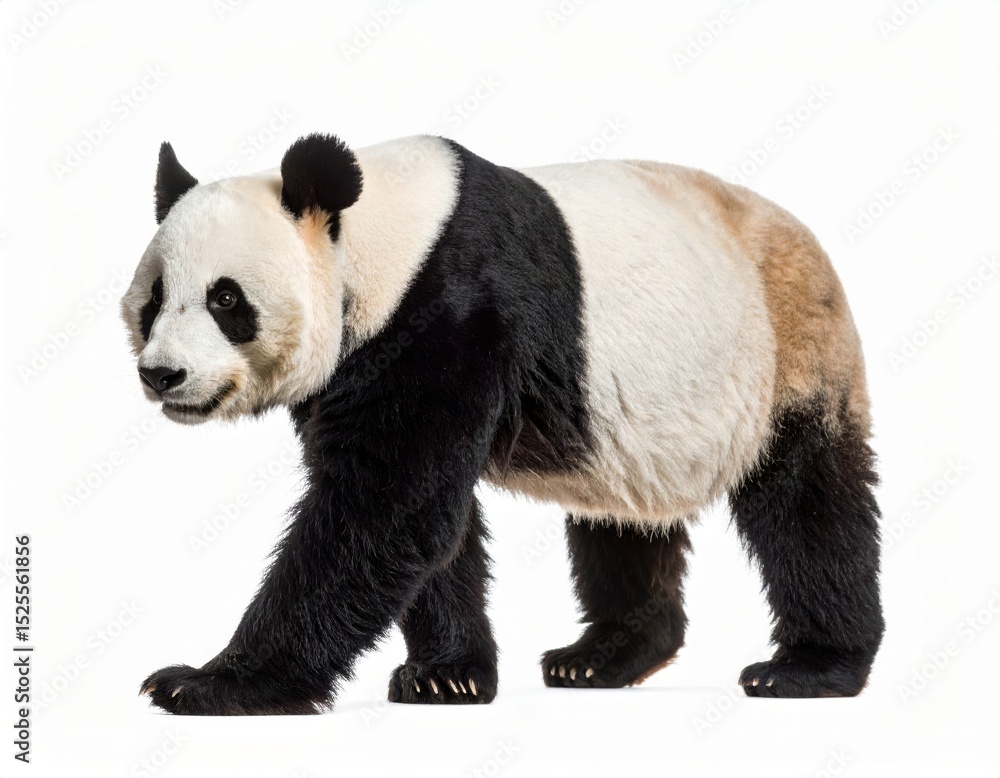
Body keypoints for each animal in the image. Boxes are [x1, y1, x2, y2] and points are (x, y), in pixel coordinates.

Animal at [121, 133, 884, 715]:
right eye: (153, 299)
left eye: (225, 300)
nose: (162, 375)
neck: (379, 242)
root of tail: (804, 234)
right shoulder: (358, 361)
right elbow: (430, 521)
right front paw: (447, 675)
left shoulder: (455, 309)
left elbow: (386, 507)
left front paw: (209, 683)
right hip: (634, 423)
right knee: (623, 520)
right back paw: (603, 657)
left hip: (790, 347)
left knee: (808, 503)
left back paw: (808, 668)